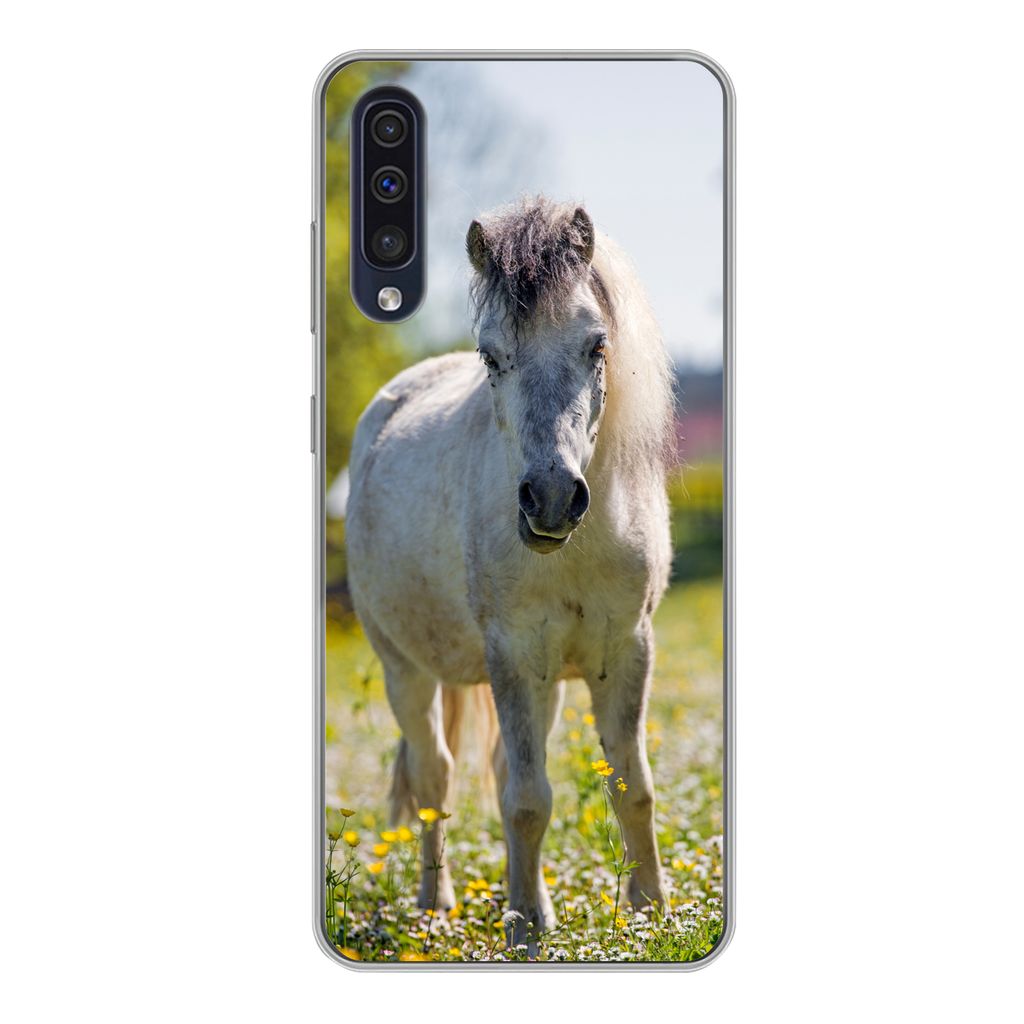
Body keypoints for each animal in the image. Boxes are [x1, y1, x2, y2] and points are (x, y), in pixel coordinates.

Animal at [346, 196, 674, 946]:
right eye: (491, 356)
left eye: (597, 345)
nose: (550, 499)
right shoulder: (514, 657)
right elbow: (528, 800)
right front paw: (525, 927)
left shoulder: (626, 650)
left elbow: (633, 788)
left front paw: (652, 916)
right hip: (405, 670)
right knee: (435, 778)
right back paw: (434, 906)